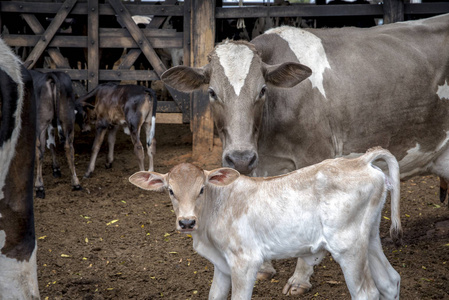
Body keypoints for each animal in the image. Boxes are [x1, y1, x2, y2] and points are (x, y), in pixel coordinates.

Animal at [29, 69, 81, 198]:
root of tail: (51, 75)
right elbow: (52, 143)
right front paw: (56, 169)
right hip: (67, 119)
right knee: (69, 147)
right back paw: (76, 183)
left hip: (40, 122)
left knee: (40, 149)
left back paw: (39, 187)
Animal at [130, 147, 402, 300]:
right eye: (170, 191)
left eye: (201, 189)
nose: (186, 222)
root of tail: (360, 160)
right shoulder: (222, 265)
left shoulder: (245, 261)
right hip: (368, 238)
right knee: (390, 282)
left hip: (348, 246)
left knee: (367, 293)